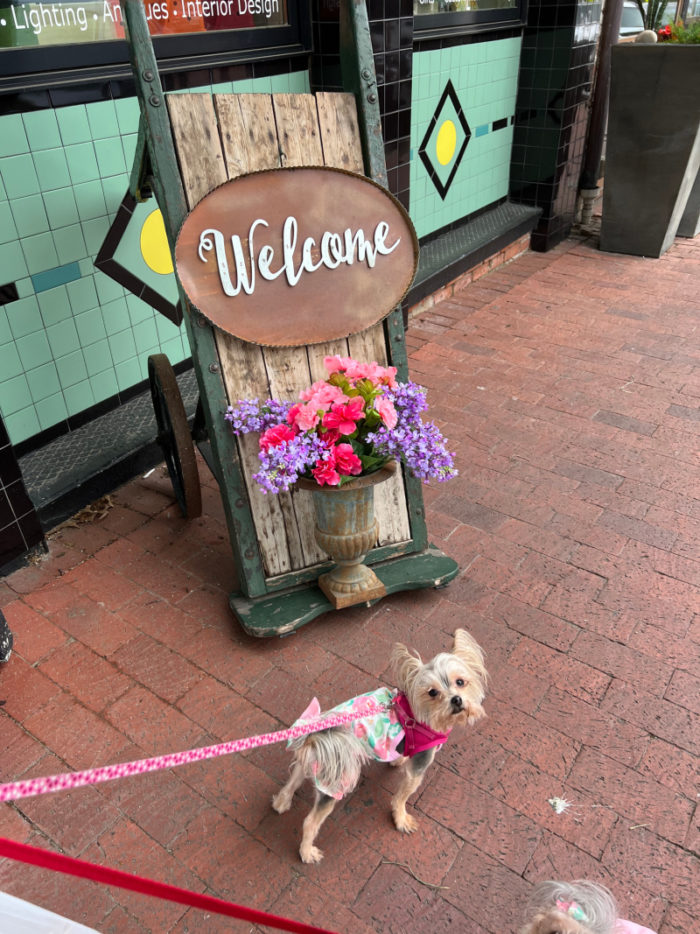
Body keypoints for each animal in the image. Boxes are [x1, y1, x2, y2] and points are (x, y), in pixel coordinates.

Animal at [274, 628, 486, 864]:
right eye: (432, 692)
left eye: (461, 682)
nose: (456, 700)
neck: (419, 714)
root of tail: (315, 733)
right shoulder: (418, 769)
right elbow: (402, 797)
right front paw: (401, 820)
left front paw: (398, 760)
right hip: (335, 781)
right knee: (310, 822)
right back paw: (307, 852)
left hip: (313, 761)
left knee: (295, 776)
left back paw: (281, 802)